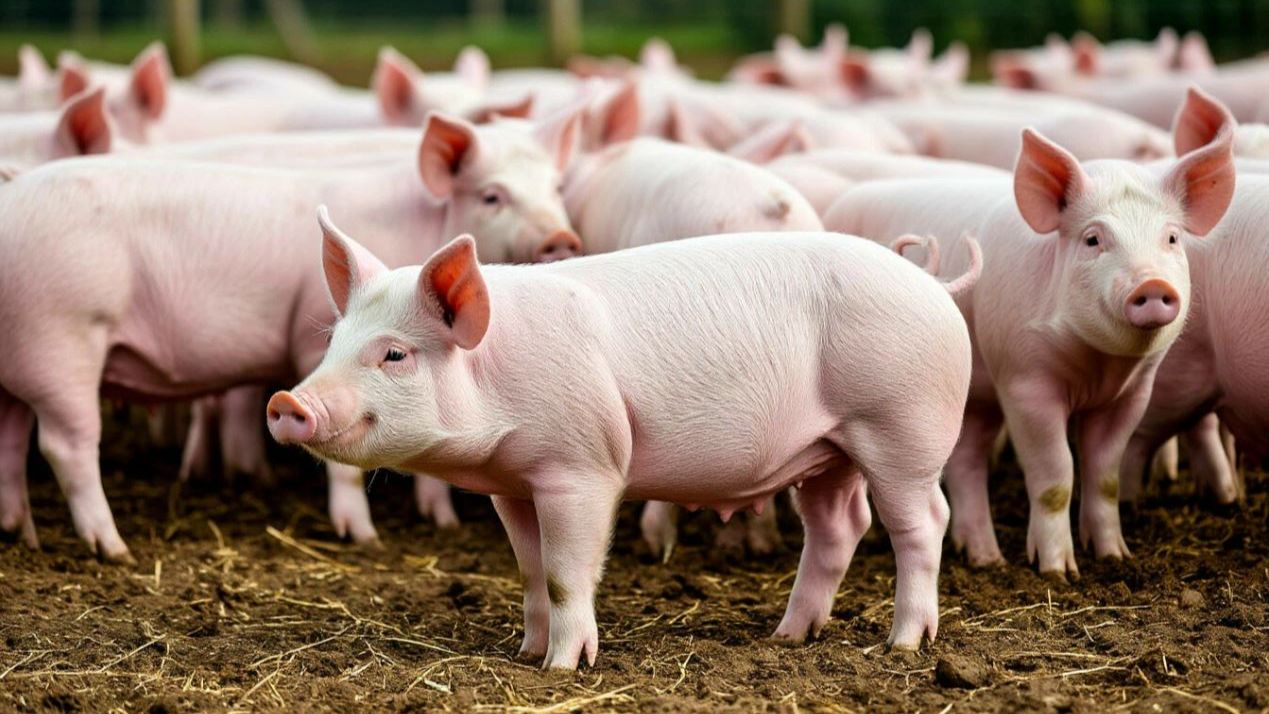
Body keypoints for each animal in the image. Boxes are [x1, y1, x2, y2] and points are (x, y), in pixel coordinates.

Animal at [0, 110, 581, 560]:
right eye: (491, 196)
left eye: (557, 187)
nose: (563, 238)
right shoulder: (308, 337)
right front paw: (363, 538)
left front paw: (443, 522)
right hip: (62, 338)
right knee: (65, 445)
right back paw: (114, 549)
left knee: (11, 436)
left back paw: (19, 533)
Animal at [267, 207, 979, 668]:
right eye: (333, 342)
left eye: (395, 354)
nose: (285, 401)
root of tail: (936, 285)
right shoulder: (511, 484)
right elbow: (529, 569)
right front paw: (524, 652)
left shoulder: (580, 468)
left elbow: (563, 573)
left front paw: (561, 669)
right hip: (829, 452)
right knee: (839, 526)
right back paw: (787, 638)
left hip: (902, 427)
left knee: (923, 522)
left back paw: (903, 645)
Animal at [823, 87, 1236, 577]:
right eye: (1093, 239)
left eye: (1171, 238)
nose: (1151, 284)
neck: (1099, 366)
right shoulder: (1023, 380)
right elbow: (1055, 476)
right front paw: (1058, 571)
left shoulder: (1132, 393)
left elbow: (1105, 475)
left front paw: (1115, 557)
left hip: (976, 393)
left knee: (966, 462)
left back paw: (986, 558)